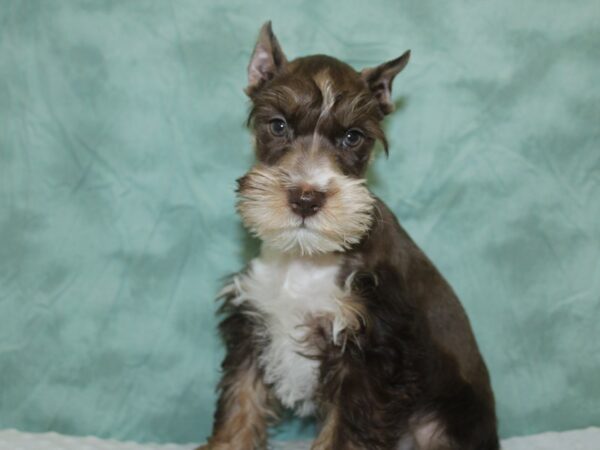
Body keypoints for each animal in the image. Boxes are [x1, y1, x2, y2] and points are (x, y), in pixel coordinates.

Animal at [199, 22, 500, 450]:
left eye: (353, 137)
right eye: (278, 125)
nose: (306, 198)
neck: (306, 256)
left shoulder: (371, 353)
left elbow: (345, 432)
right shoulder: (251, 329)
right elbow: (239, 406)